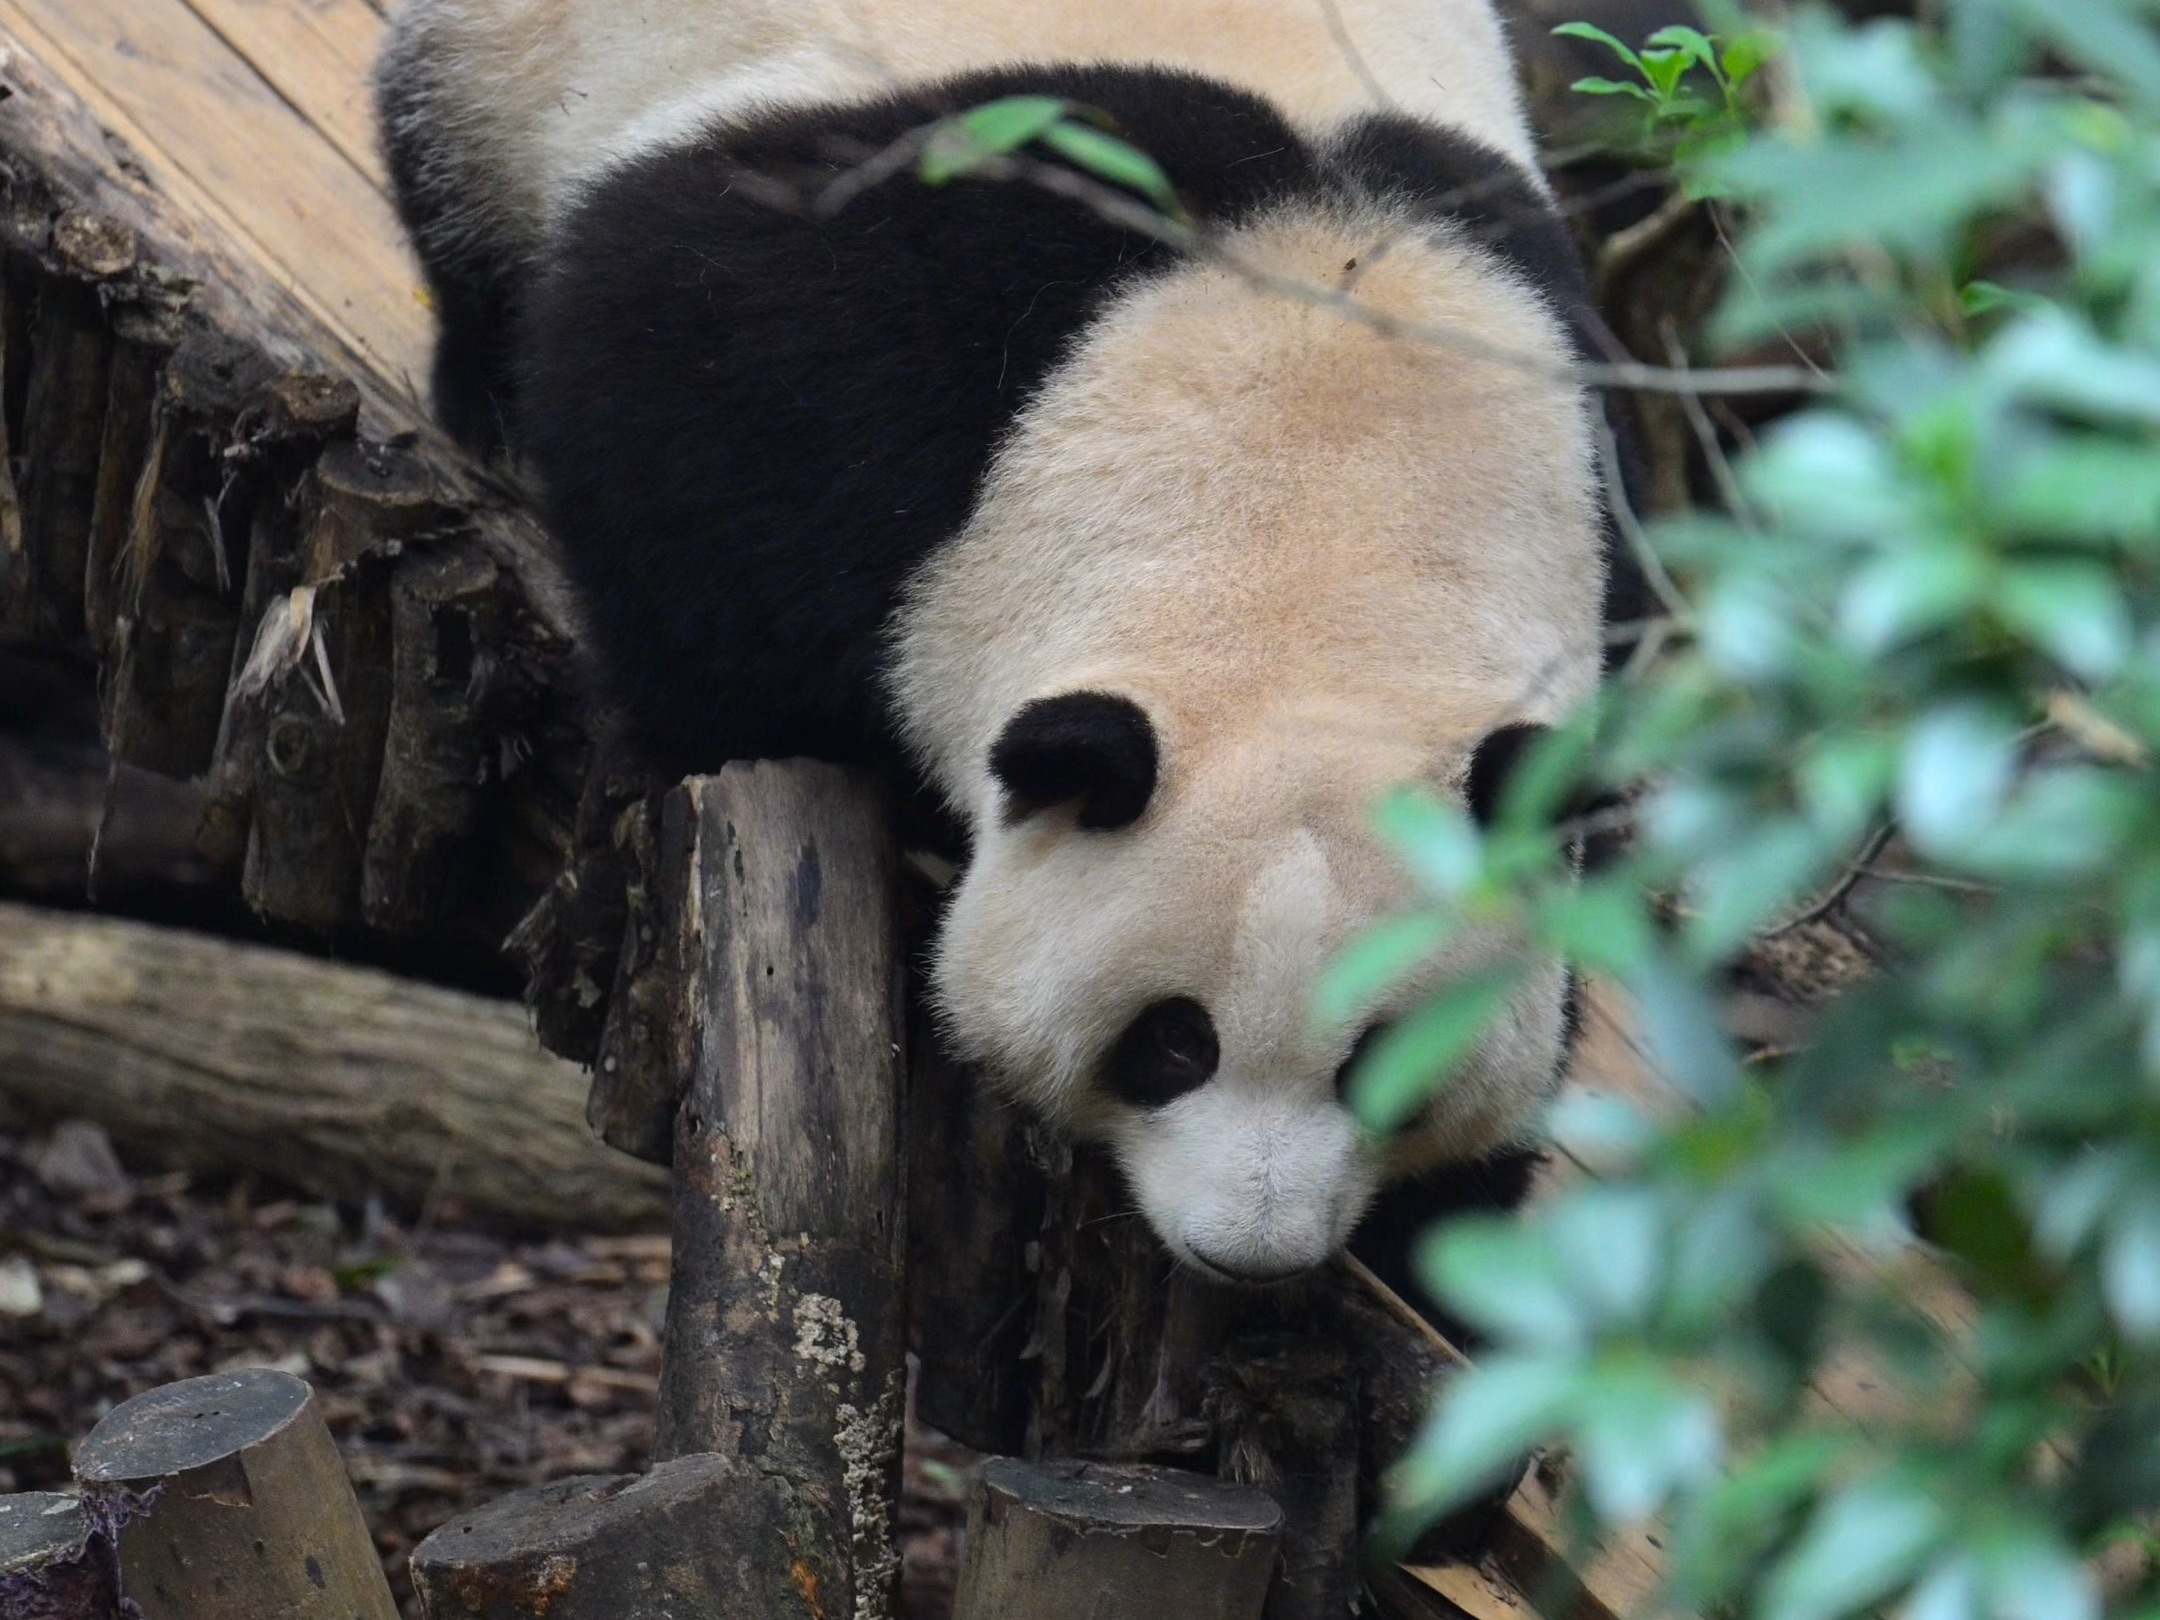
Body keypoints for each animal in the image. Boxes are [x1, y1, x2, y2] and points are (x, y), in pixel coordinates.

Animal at [380, 3, 1641, 1296]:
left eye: (1380, 1064)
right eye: (1172, 1041)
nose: (1249, 1253)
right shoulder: (850, 334)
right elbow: (680, 507)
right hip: (517, 62)